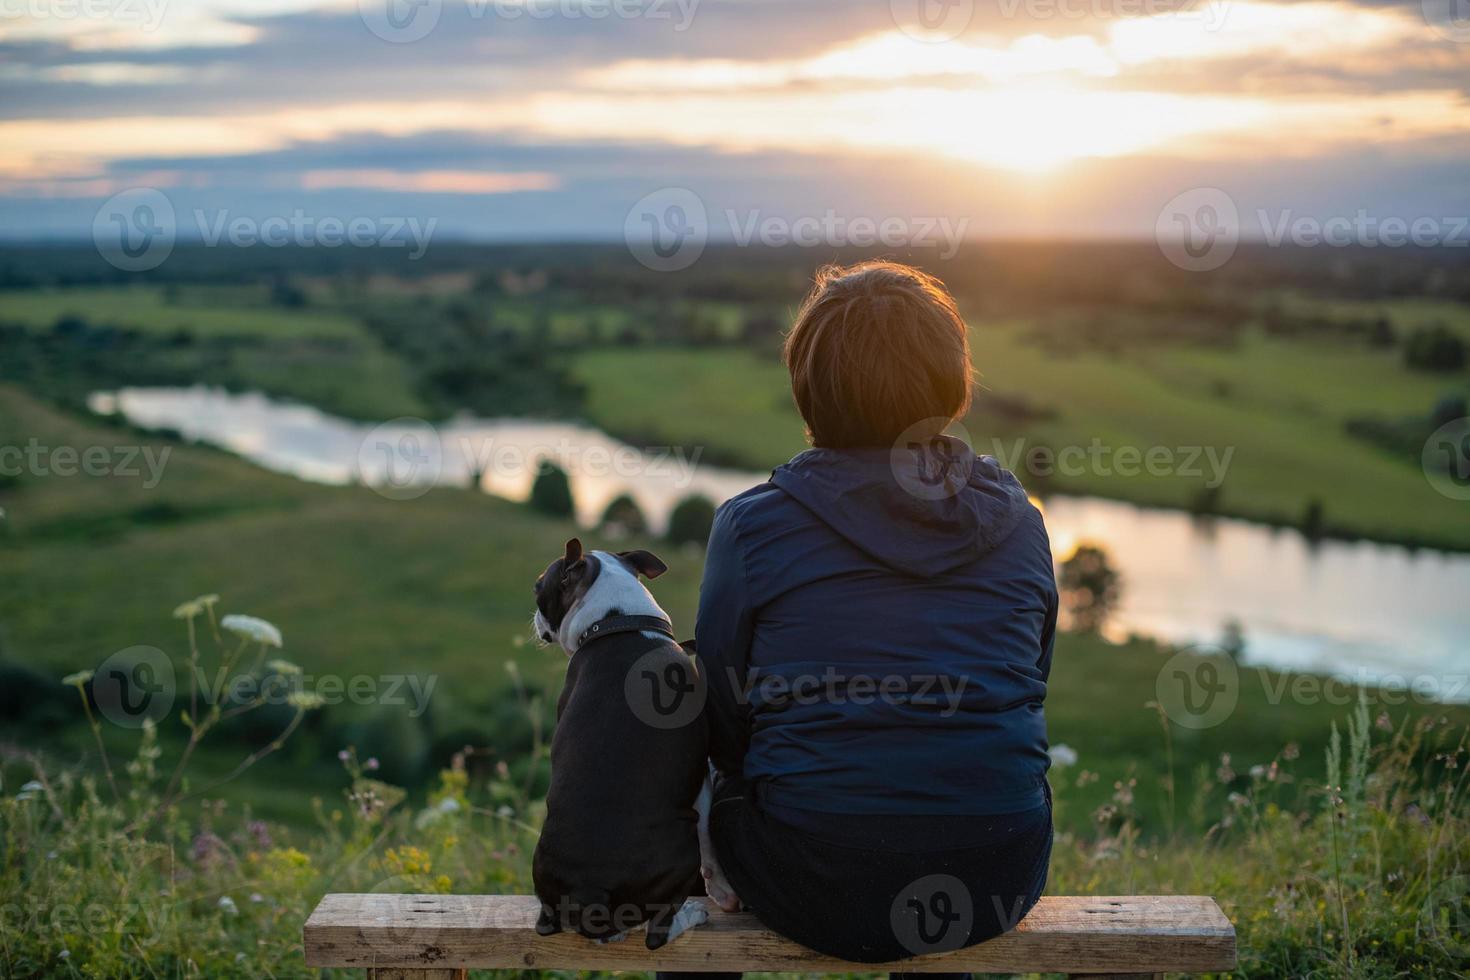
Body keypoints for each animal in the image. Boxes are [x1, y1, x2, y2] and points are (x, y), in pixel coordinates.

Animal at [529, 540, 735, 946]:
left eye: (537, 587)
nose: (534, 618)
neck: (622, 621)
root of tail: (588, 892)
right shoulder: (700, 775)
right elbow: (710, 840)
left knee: (549, 925)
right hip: (681, 841)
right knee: (656, 934)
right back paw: (692, 914)